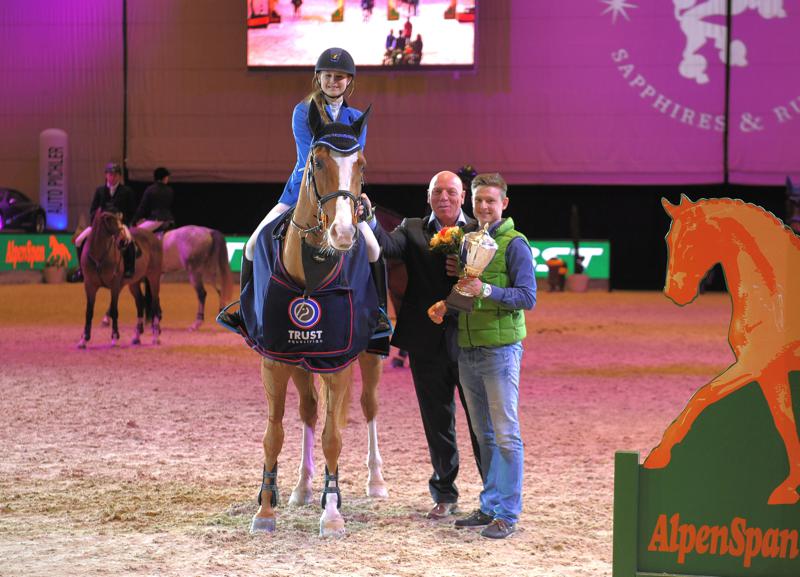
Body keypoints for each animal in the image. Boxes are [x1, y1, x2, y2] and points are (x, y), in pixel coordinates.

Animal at [77, 210, 163, 346]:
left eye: (119, 219)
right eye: (109, 220)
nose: (125, 240)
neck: (99, 257)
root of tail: (153, 237)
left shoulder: (115, 286)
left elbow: (114, 310)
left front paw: (114, 337)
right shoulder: (90, 286)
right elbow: (89, 312)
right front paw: (84, 339)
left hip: (153, 278)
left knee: (154, 305)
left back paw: (155, 336)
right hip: (134, 283)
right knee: (140, 302)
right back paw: (137, 336)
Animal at [238, 103, 378, 536]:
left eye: (361, 164)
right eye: (315, 161)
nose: (344, 232)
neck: (312, 269)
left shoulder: (339, 362)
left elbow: (334, 437)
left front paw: (331, 512)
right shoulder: (274, 359)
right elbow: (274, 434)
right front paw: (266, 509)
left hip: (371, 355)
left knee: (368, 407)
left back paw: (376, 482)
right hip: (301, 362)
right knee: (309, 413)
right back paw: (302, 487)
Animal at [648, 196, 800, 502]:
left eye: (692, 242)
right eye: (668, 238)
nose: (674, 292)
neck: (777, 295)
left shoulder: (754, 364)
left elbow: (703, 396)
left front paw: (658, 455)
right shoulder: (770, 372)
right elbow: (786, 424)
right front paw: (789, 487)